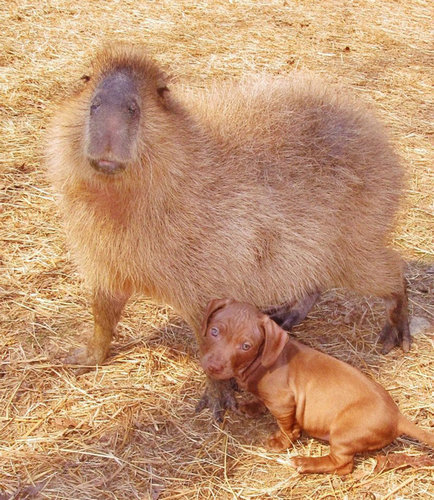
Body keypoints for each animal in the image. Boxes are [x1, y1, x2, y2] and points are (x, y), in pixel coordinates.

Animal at [201, 298, 434, 474]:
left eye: (246, 346)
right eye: (214, 331)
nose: (213, 366)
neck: (261, 361)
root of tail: (397, 418)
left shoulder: (284, 404)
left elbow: (287, 428)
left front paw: (282, 441)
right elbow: (260, 400)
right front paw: (252, 406)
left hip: (344, 433)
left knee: (343, 465)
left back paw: (306, 463)